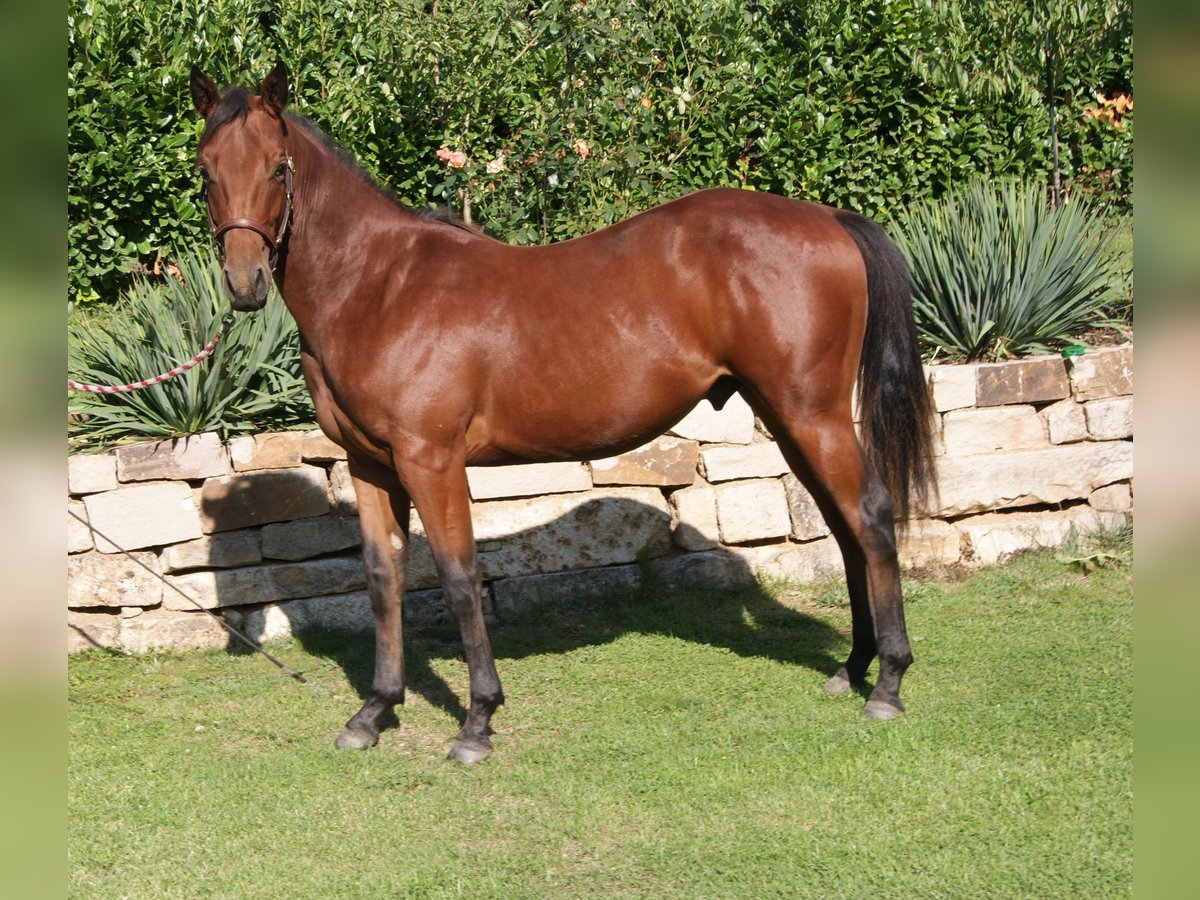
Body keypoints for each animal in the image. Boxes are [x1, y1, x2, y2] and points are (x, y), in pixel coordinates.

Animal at [189, 63, 936, 763]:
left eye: (278, 165)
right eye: (206, 168)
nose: (245, 284)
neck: (380, 286)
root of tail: (827, 218)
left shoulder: (431, 460)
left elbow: (458, 576)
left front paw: (477, 722)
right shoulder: (371, 463)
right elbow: (382, 577)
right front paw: (374, 712)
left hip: (815, 416)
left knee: (870, 515)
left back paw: (889, 684)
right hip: (787, 422)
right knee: (843, 527)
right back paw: (853, 668)